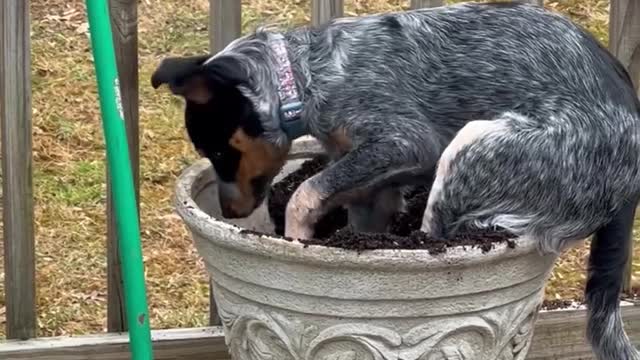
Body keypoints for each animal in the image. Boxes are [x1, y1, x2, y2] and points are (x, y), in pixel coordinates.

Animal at [151, 1, 640, 358]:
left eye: (218, 152)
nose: (230, 211)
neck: (302, 77)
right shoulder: (373, 185)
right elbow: (355, 211)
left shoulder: (403, 143)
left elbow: (304, 193)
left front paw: (295, 237)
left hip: (470, 148)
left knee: (436, 233)